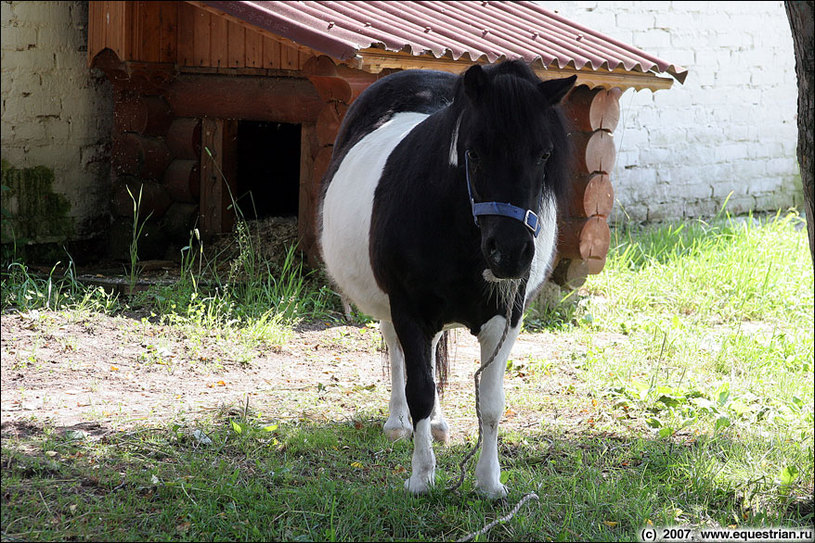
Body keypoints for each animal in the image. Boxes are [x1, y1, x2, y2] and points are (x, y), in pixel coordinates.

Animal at [318, 58, 572, 498]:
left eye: (543, 154)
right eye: (474, 152)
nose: (510, 253)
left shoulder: (506, 319)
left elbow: (490, 404)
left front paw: (489, 483)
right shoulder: (408, 311)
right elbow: (419, 389)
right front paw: (421, 477)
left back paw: (437, 425)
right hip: (391, 309)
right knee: (397, 352)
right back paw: (397, 424)